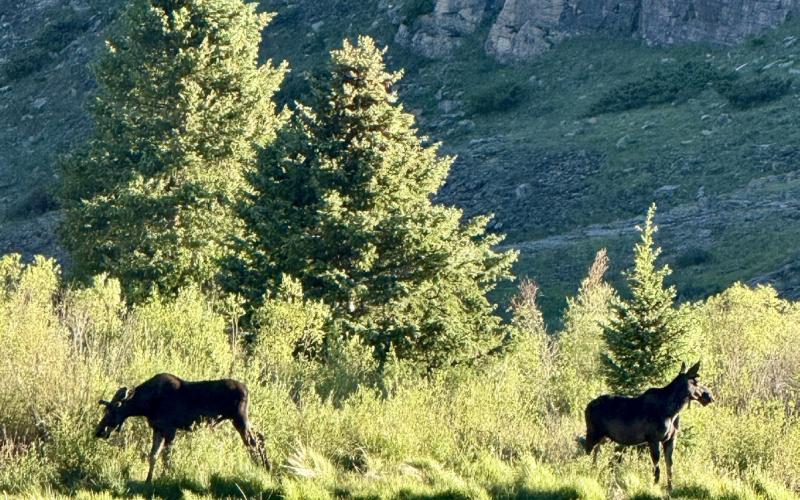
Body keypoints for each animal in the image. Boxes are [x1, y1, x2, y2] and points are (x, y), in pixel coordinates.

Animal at [95, 373, 270, 483]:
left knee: (253, 442)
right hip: (240, 420)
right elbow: (153, 456)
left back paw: (261, 468)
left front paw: (165, 478)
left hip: (239, 418)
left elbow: (166, 457)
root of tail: (247, 390)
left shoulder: (170, 429)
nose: (99, 431)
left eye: (114, 408)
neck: (145, 405)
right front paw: (148, 480)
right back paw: (266, 468)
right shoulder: (157, 428)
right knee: (260, 436)